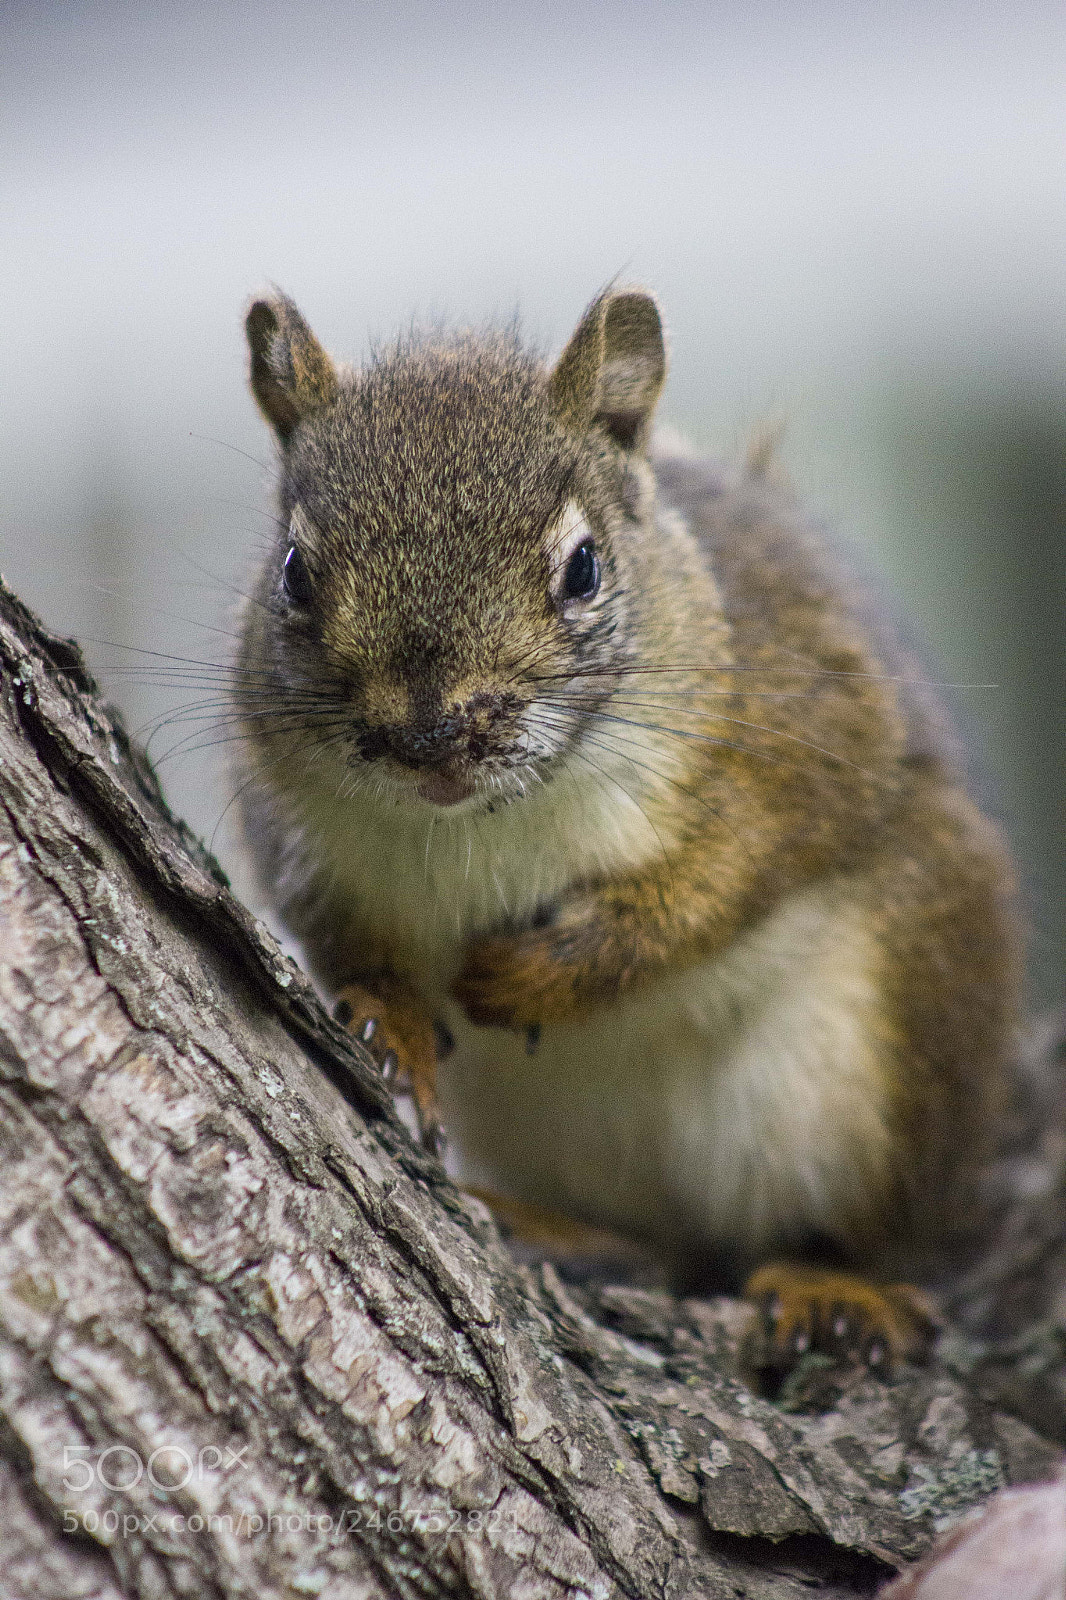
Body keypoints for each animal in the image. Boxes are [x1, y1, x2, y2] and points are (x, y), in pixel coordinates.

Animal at [234, 285, 1019, 1377]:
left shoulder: (804, 728)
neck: (482, 826)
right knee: (649, 1248)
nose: (431, 735)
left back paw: (836, 1282)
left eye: (583, 567)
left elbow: (721, 880)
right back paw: (552, 1225)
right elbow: (340, 930)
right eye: (294, 573)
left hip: (908, 1029)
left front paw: (538, 973)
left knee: (868, 1233)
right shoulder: (289, 815)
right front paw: (389, 1017)